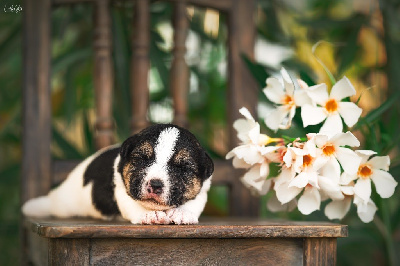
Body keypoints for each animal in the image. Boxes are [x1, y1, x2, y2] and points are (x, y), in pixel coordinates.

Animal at [22, 124, 214, 224]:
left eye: (183, 168)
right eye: (141, 159)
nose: (155, 184)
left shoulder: (202, 192)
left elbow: (193, 203)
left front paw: (182, 213)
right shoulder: (120, 190)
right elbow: (133, 204)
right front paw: (147, 214)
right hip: (64, 205)